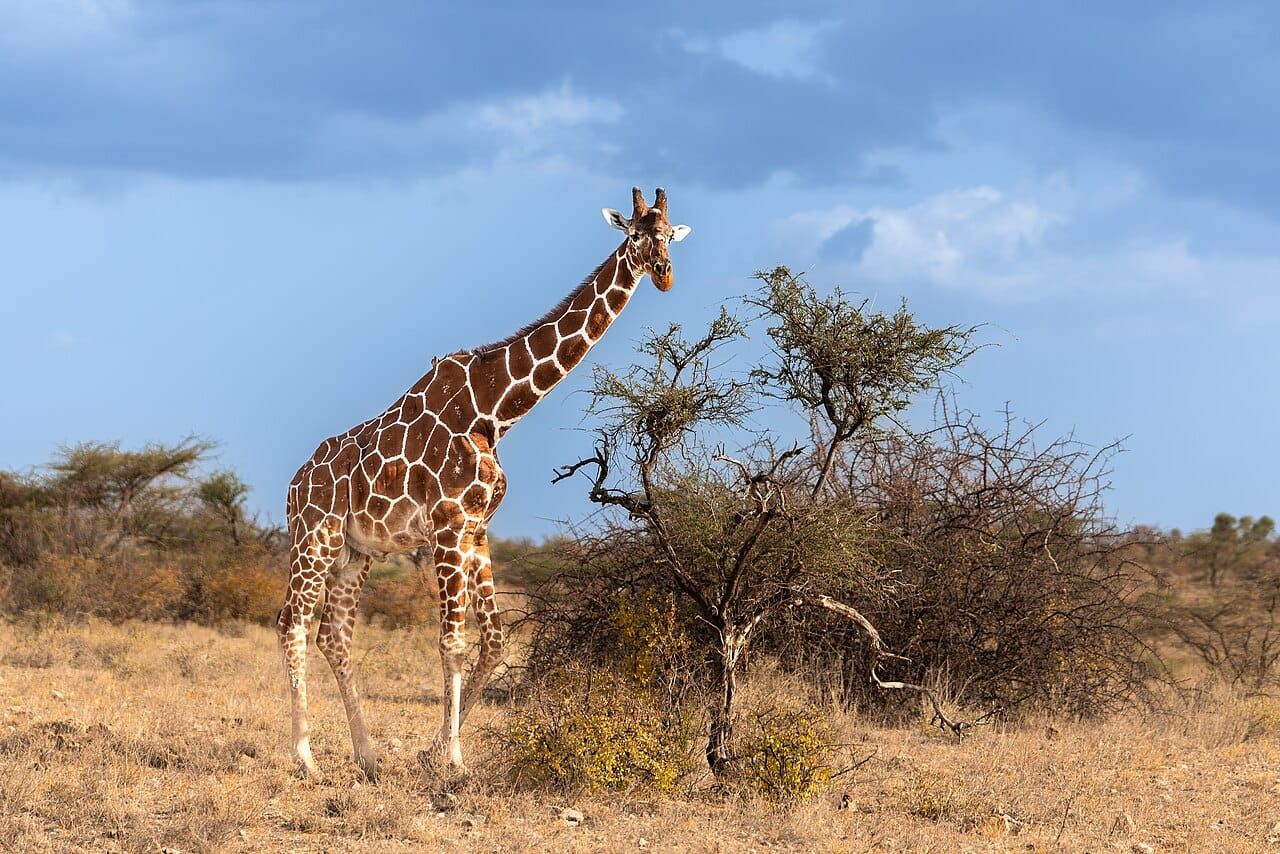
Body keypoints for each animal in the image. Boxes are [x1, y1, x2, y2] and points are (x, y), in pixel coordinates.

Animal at [277, 187, 691, 778]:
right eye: (634, 234)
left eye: (669, 235)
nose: (663, 274)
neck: (495, 412)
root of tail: (293, 484)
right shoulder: (448, 526)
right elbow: (452, 643)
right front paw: (453, 759)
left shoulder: (476, 530)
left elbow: (494, 643)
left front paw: (432, 752)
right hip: (315, 539)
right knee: (291, 623)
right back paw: (306, 758)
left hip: (357, 551)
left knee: (333, 636)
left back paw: (368, 756)